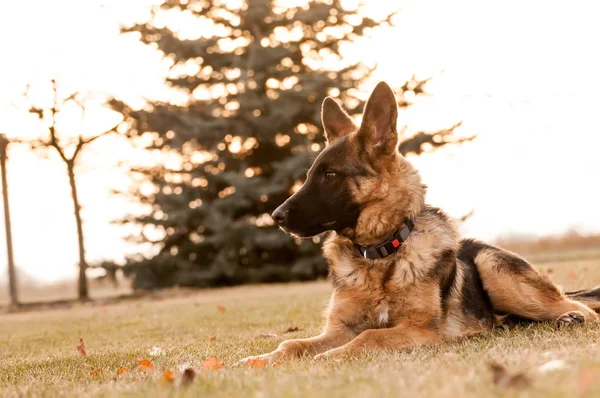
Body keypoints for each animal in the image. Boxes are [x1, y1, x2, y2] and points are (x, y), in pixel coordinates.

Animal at [239, 81, 600, 364]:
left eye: (329, 176)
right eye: (310, 175)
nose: (276, 216)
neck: (379, 257)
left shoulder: (420, 330)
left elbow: (369, 337)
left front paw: (329, 357)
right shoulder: (340, 328)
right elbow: (293, 343)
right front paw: (262, 359)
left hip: (494, 269)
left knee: (582, 308)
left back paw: (570, 317)